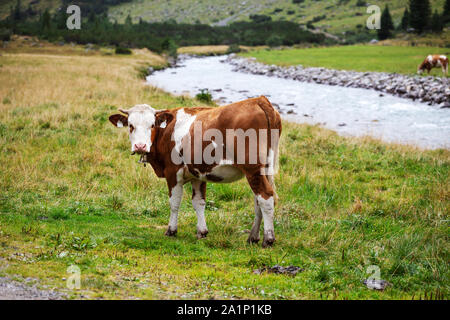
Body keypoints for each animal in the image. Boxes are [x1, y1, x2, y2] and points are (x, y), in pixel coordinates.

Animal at [109, 96, 282, 246]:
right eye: (130, 126)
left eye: (152, 125)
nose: (140, 146)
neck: (165, 132)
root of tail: (259, 100)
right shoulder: (197, 175)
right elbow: (199, 202)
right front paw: (202, 232)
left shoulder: (173, 172)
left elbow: (174, 202)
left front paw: (171, 230)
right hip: (264, 169)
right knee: (258, 201)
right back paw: (253, 237)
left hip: (253, 169)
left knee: (265, 197)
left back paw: (268, 239)